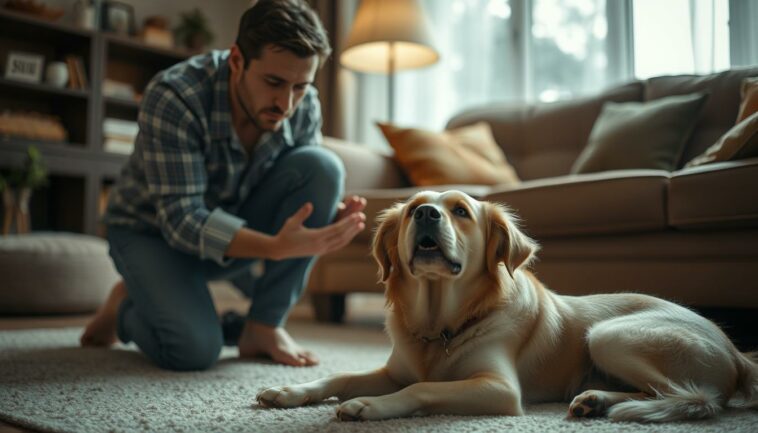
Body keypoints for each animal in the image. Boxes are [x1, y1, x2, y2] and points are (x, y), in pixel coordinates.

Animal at [256, 191, 758, 420]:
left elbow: (422, 389)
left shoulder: (498, 388)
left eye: (460, 210)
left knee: (694, 398)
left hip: (609, 335)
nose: (426, 214)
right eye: (414, 206)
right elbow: (339, 376)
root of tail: (737, 353)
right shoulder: (393, 370)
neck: (442, 324)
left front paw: (369, 405)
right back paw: (594, 400)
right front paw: (289, 390)